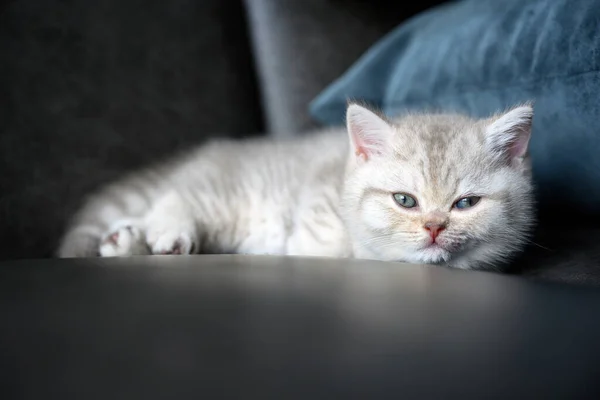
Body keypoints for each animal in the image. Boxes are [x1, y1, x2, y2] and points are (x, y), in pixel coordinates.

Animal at [56, 103, 536, 272]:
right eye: (405, 200)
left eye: (465, 203)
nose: (434, 228)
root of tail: (206, 154)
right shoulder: (318, 215)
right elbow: (324, 249)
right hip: (226, 197)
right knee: (176, 198)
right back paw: (162, 236)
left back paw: (123, 240)